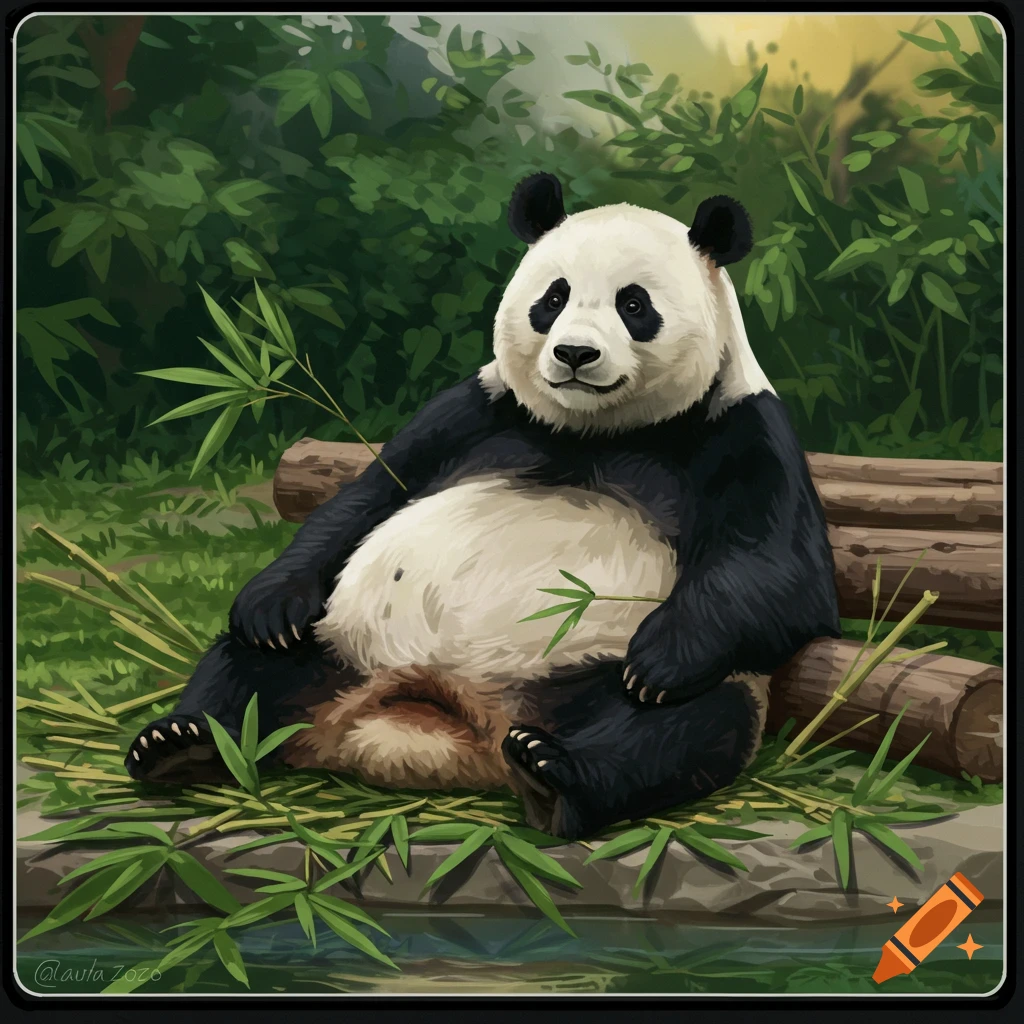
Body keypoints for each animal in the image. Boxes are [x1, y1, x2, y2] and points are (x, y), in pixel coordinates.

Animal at [126, 173, 841, 841]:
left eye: (634, 304)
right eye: (553, 298)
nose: (575, 353)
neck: (601, 429)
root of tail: (428, 715)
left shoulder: (741, 429)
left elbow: (784, 575)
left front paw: (662, 658)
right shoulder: (474, 412)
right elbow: (361, 501)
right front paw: (271, 604)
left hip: (583, 676)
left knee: (682, 723)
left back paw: (555, 775)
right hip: (340, 643)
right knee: (245, 670)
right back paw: (183, 745)